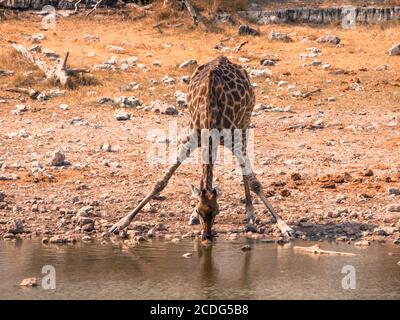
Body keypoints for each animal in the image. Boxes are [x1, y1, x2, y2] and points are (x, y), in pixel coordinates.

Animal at [109, 55, 294, 240]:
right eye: (200, 211)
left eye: (218, 211)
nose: (206, 236)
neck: (209, 114)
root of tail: (224, 58)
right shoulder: (190, 138)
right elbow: (161, 182)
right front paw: (120, 223)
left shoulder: (231, 138)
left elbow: (255, 182)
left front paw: (284, 226)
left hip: (244, 123)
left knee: (244, 169)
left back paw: (250, 214)